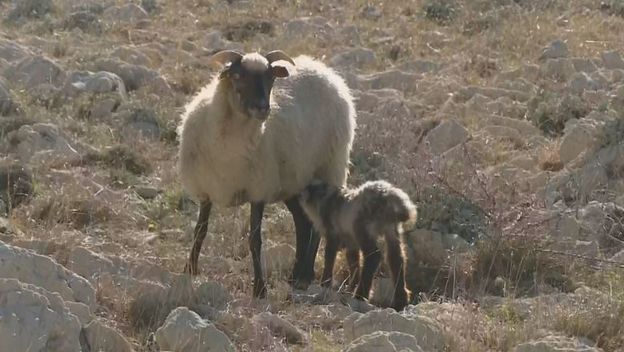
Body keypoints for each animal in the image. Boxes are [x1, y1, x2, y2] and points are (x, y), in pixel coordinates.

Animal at [178, 49, 358, 296]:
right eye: (237, 75)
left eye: (271, 78)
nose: (263, 108)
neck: (229, 151)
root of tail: (324, 70)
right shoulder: (206, 189)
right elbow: (200, 231)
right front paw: (190, 270)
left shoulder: (258, 190)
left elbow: (255, 241)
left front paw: (260, 289)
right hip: (294, 183)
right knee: (303, 224)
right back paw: (296, 275)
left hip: (328, 170)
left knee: (318, 228)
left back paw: (311, 278)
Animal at [298, 180, 414, 310]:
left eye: (309, 188)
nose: (300, 194)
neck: (325, 199)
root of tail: (389, 196)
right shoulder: (351, 242)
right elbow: (353, 262)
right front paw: (350, 287)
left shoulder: (332, 233)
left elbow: (329, 258)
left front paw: (325, 283)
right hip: (392, 230)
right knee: (396, 258)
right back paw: (401, 300)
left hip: (362, 227)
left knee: (374, 256)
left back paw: (360, 295)